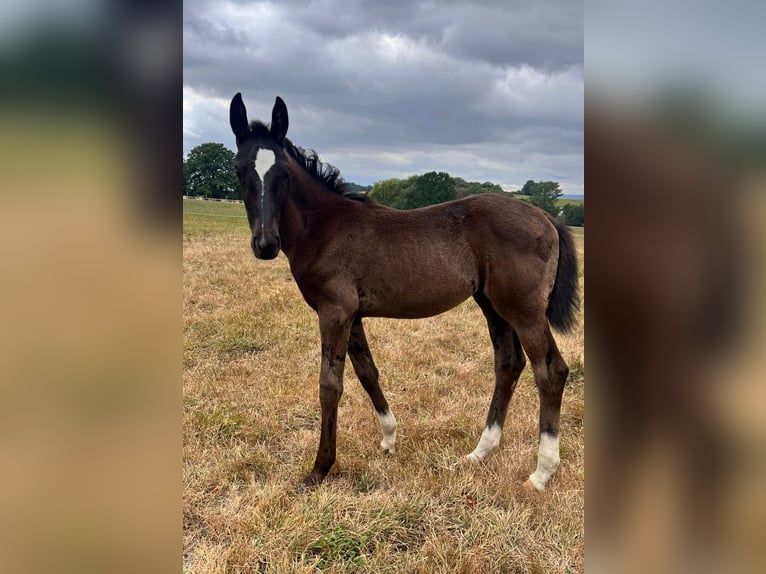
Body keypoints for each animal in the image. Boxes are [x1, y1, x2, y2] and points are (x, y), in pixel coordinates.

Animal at [229, 93, 580, 490]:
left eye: (283, 174)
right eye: (239, 170)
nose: (266, 244)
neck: (323, 228)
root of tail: (546, 216)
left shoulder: (334, 312)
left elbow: (329, 385)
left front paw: (319, 468)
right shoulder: (352, 315)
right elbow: (367, 373)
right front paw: (389, 439)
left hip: (523, 310)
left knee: (550, 371)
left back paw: (541, 473)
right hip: (492, 305)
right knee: (508, 364)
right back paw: (480, 452)